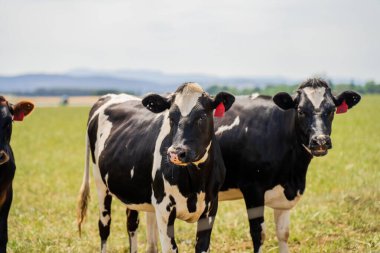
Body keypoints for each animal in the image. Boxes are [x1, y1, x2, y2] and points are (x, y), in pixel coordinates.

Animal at [77, 82, 235, 252]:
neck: (195, 181)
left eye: (202, 116)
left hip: (132, 191)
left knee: (131, 224)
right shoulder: (164, 209)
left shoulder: (211, 208)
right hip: (100, 184)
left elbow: (202, 246)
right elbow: (170, 248)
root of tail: (109, 96)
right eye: (171, 117)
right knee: (104, 227)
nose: (176, 152)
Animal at [214, 78, 362, 252]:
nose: (320, 141)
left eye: (332, 110)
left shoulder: (283, 195)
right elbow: (258, 234)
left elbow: (283, 233)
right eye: (301, 110)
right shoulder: (252, 189)